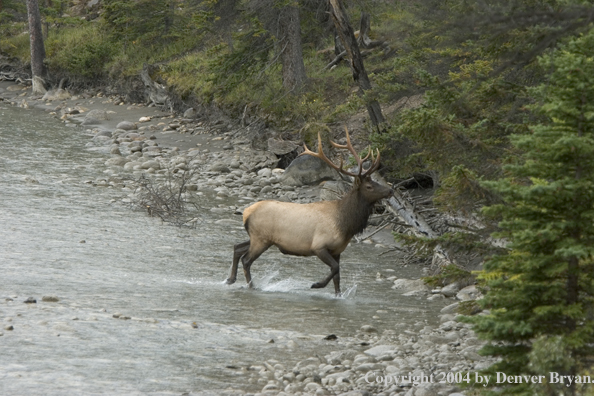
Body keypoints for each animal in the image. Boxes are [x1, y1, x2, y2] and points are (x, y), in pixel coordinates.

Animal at [224, 128, 390, 296]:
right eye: (369, 186)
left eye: (374, 181)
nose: (390, 189)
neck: (345, 225)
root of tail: (246, 213)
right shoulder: (319, 246)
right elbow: (335, 268)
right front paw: (317, 284)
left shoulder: (337, 251)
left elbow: (337, 276)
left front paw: (337, 294)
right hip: (260, 239)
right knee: (246, 260)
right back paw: (251, 286)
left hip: (259, 238)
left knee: (237, 247)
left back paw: (231, 279)